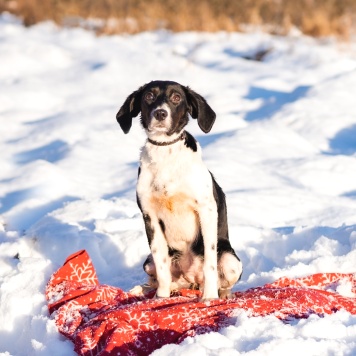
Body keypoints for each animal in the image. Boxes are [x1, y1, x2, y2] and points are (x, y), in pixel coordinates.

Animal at [116, 80, 242, 300]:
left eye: (176, 97)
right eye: (149, 96)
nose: (160, 113)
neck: (165, 152)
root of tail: (191, 280)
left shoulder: (206, 211)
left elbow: (210, 263)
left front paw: (210, 298)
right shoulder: (150, 217)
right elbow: (162, 268)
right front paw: (161, 298)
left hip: (230, 259)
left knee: (222, 281)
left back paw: (223, 295)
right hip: (148, 262)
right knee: (161, 277)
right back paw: (147, 289)